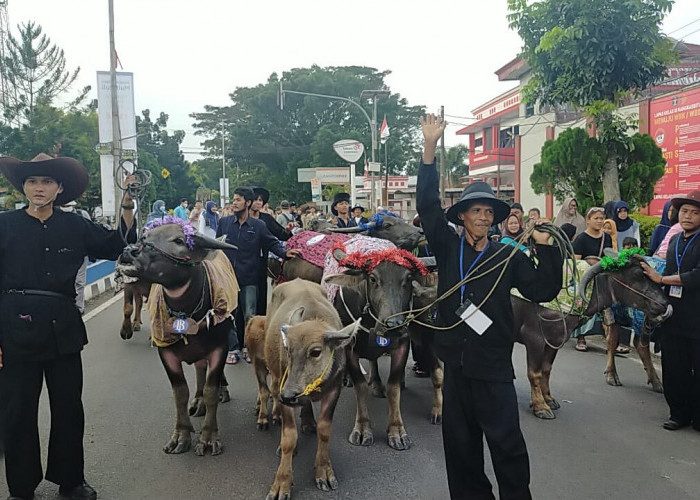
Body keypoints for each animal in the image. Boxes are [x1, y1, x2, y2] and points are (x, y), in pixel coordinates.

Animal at [247, 280, 358, 498]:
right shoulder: (285, 388)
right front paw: (282, 482)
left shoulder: (334, 390)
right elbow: (289, 437)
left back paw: (307, 421)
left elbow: (325, 430)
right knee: (270, 391)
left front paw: (324, 472)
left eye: (315, 351)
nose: (288, 396)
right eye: (288, 349)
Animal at [516, 254, 672, 418]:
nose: (664, 303)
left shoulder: (555, 340)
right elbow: (535, 373)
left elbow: (546, 370)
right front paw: (540, 406)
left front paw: (548, 399)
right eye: (638, 274)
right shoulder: (534, 338)